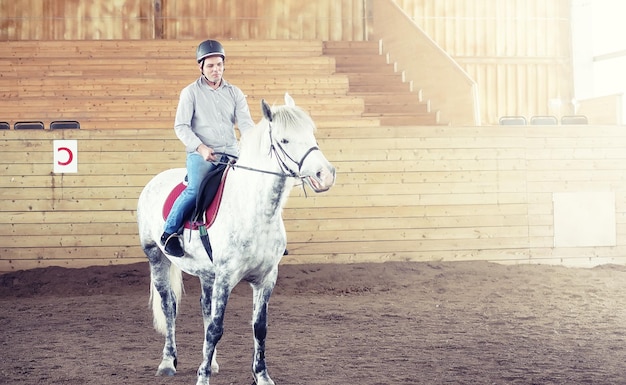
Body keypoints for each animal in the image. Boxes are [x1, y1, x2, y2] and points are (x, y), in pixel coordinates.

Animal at [135, 94, 334, 384]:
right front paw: (202, 378)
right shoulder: (226, 277)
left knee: (205, 308)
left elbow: (259, 327)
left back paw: (212, 362)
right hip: (156, 256)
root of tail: (155, 181)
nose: (325, 174)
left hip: (207, 273)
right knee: (169, 306)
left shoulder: (266, 278)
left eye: (311, 133)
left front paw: (261, 376)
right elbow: (216, 328)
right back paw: (168, 362)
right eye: (285, 140)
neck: (254, 211)